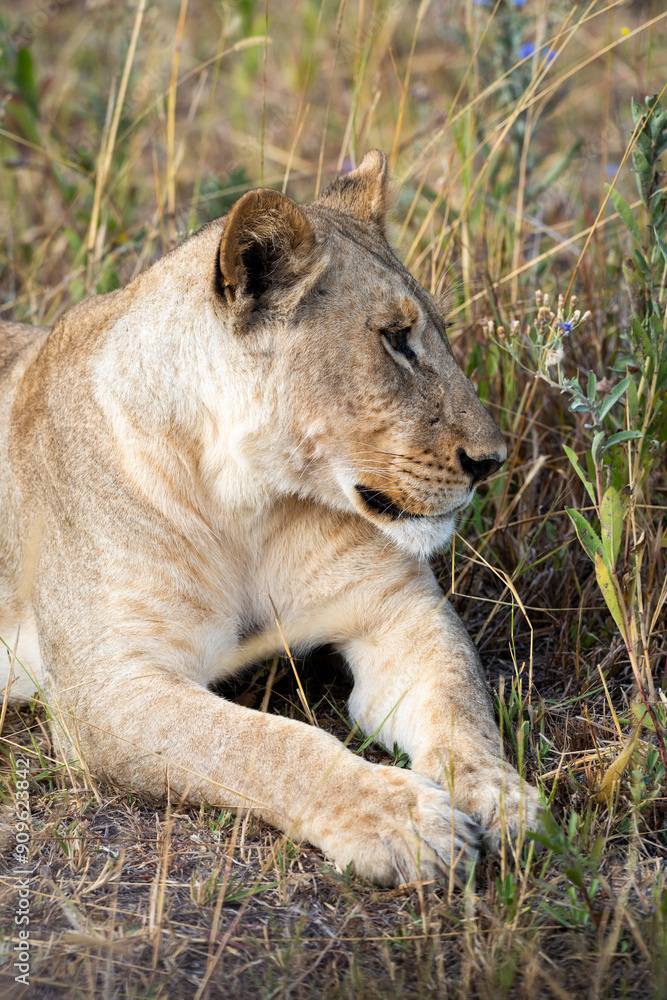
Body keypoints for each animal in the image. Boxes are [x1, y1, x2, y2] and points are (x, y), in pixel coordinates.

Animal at [0, 150, 539, 886]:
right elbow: (268, 744)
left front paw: (499, 798)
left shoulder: (398, 610)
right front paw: (403, 820)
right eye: (396, 340)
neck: (245, 505)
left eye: (439, 336)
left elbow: (460, 707)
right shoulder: (106, 686)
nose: (491, 460)